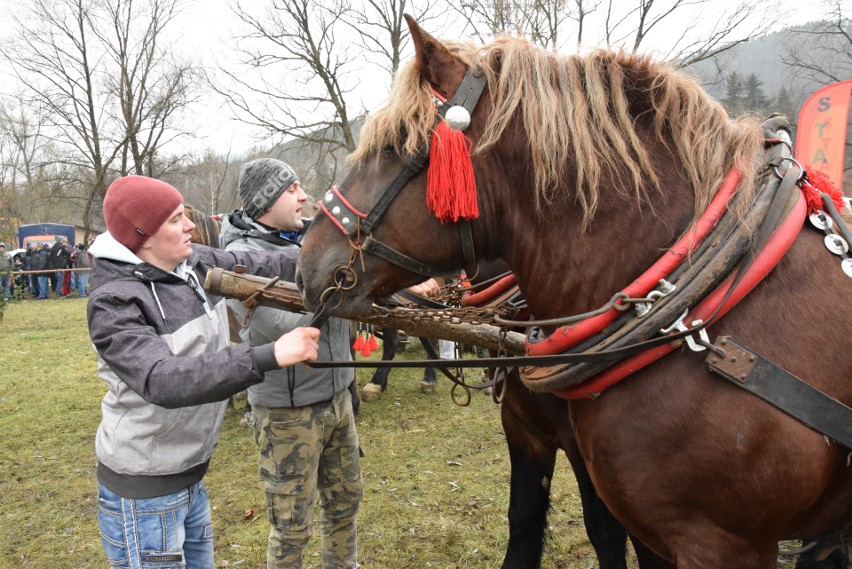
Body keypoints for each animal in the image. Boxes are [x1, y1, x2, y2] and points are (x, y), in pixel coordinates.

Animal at [294, 15, 852, 568]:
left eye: (396, 146)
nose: (306, 265)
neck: (693, 320)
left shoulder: (717, 540)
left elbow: (601, 529)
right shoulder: (534, 439)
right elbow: (524, 526)